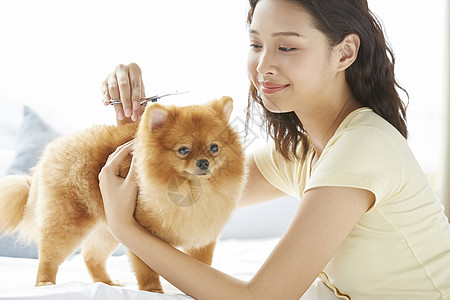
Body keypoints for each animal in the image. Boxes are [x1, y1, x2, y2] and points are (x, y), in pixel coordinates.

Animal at [0, 96, 246, 292]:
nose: (204, 162)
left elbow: (202, 266)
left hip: (110, 228)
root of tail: (52, 150)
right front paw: (152, 291)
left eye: (214, 148)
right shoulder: (142, 234)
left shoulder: (202, 237)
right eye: (183, 150)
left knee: (90, 255)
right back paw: (45, 283)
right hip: (69, 223)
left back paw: (106, 282)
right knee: (50, 254)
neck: (192, 189)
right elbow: (146, 269)